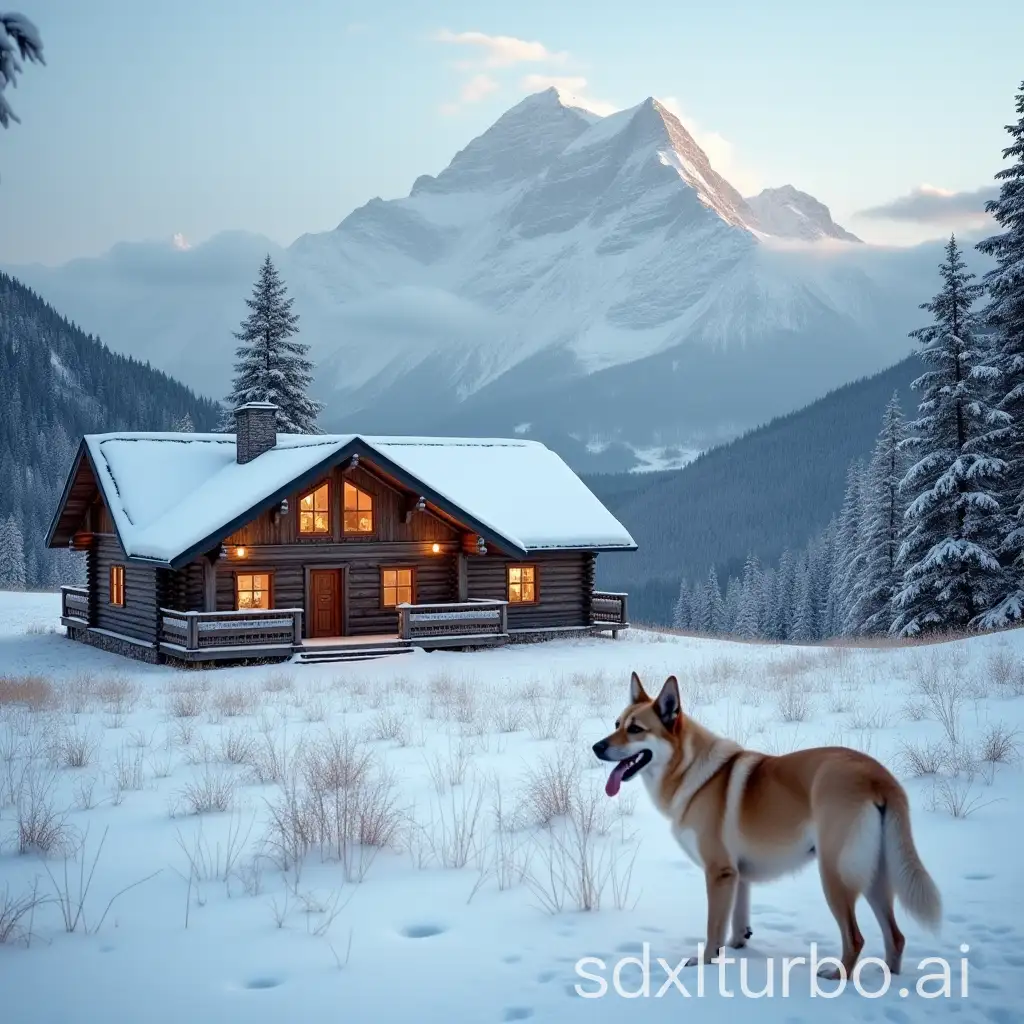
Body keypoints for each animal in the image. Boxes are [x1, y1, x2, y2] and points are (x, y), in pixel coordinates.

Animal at [593, 671, 942, 974]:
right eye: (616, 724)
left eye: (636, 729)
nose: (596, 747)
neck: (690, 769)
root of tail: (878, 777)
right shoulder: (738, 876)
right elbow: (736, 921)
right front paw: (736, 947)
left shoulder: (718, 873)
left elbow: (713, 929)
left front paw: (705, 963)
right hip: (874, 875)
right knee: (895, 937)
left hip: (835, 874)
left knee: (855, 939)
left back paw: (835, 978)